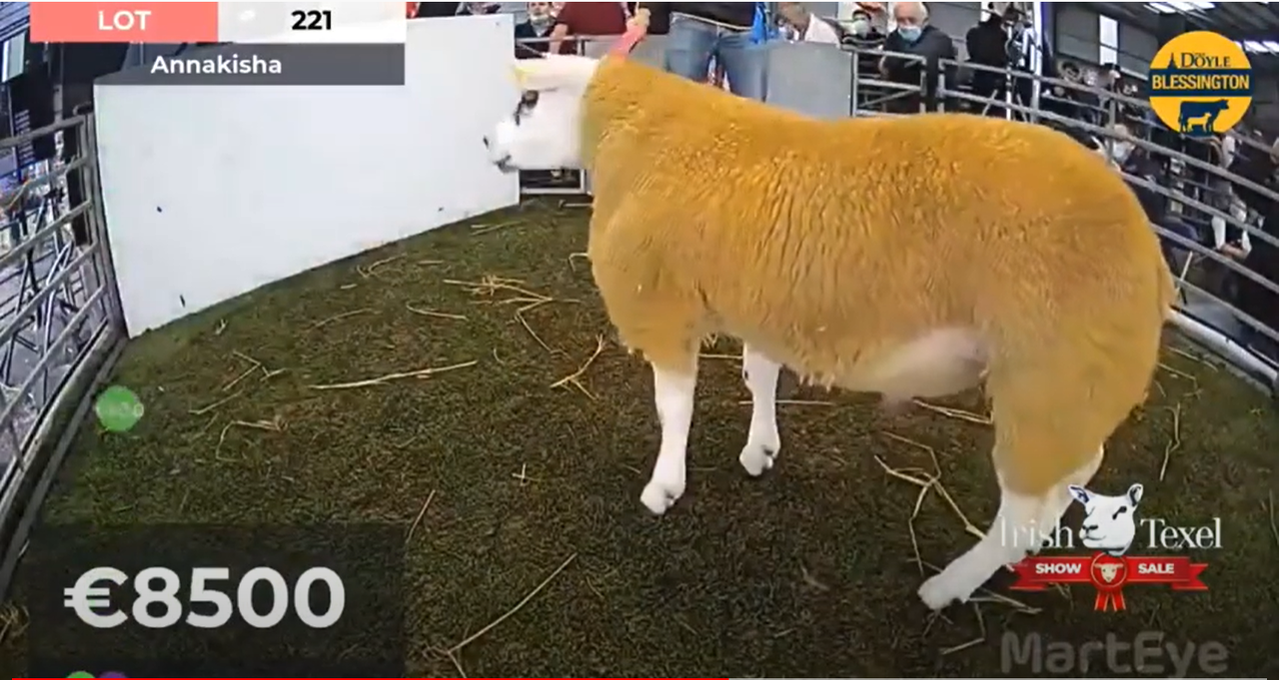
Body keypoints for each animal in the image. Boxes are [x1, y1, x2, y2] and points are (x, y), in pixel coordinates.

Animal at [483, 52, 1176, 611]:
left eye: (528, 100)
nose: (487, 138)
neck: (633, 136)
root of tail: (1154, 259)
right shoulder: (761, 300)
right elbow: (759, 375)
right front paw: (760, 450)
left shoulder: (662, 302)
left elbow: (673, 406)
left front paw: (664, 487)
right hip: (1073, 388)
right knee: (1070, 478)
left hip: (1048, 379)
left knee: (1028, 504)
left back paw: (947, 587)